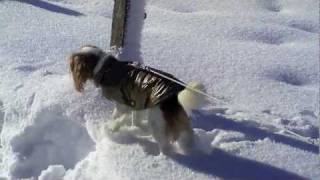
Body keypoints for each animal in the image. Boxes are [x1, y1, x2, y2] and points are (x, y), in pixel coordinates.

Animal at [69, 44, 206, 153]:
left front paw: (111, 127)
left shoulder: (122, 103)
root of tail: (174, 96)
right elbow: (135, 120)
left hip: (156, 119)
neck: (107, 68)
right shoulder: (137, 100)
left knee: (165, 144)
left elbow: (116, 116)